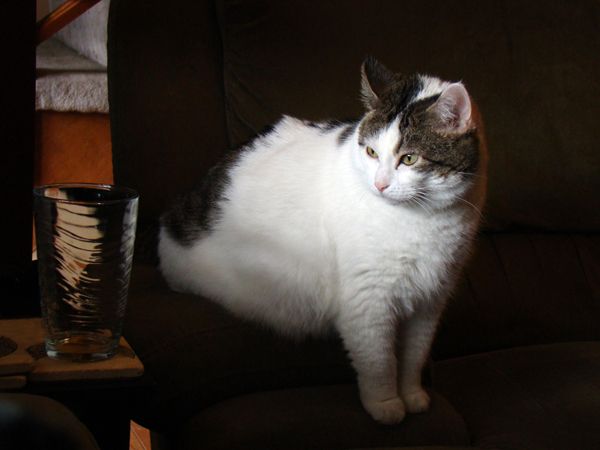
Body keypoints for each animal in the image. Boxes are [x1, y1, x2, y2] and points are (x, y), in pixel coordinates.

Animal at [157, 57, 486, 426]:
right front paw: (385, 404)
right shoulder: (367, 301)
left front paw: (412, 395)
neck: (421, 221)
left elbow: (414, 356)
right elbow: (379, 360)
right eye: (371, 152)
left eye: (410, 158)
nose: (380, 184)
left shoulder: (430, 301)